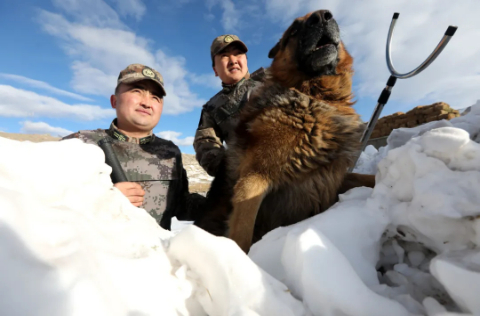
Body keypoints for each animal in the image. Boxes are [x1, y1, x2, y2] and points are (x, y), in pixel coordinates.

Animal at [195, 9, 376, 252]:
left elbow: (368, 177)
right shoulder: (253, 181)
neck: (315, 95)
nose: (322, 16)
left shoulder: (330, 175)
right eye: (294, 30)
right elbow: (241, 239)